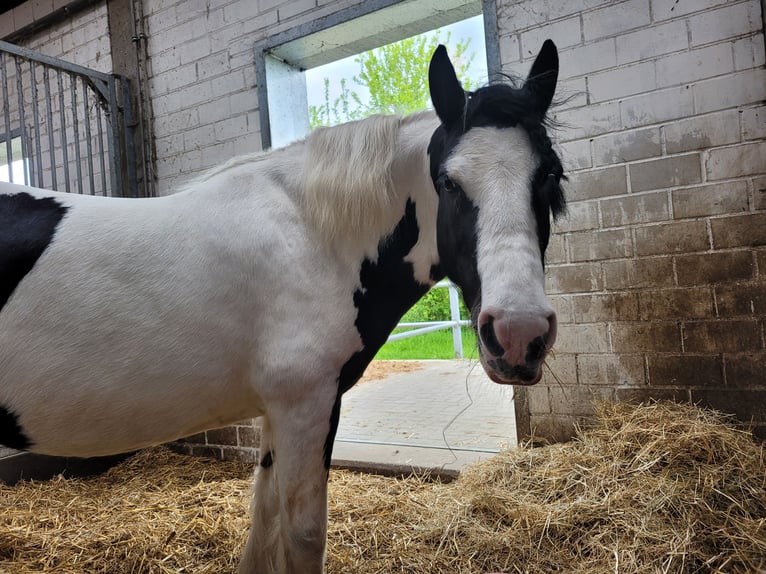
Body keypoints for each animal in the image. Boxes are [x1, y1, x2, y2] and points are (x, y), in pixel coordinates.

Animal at [0, 41, 564, 574]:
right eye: (448, 182)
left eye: (550, 177)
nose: (518, 334)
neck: (311, 236)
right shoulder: (305, 406)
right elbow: (303, 535)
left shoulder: (276, 414)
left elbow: (264, 519)